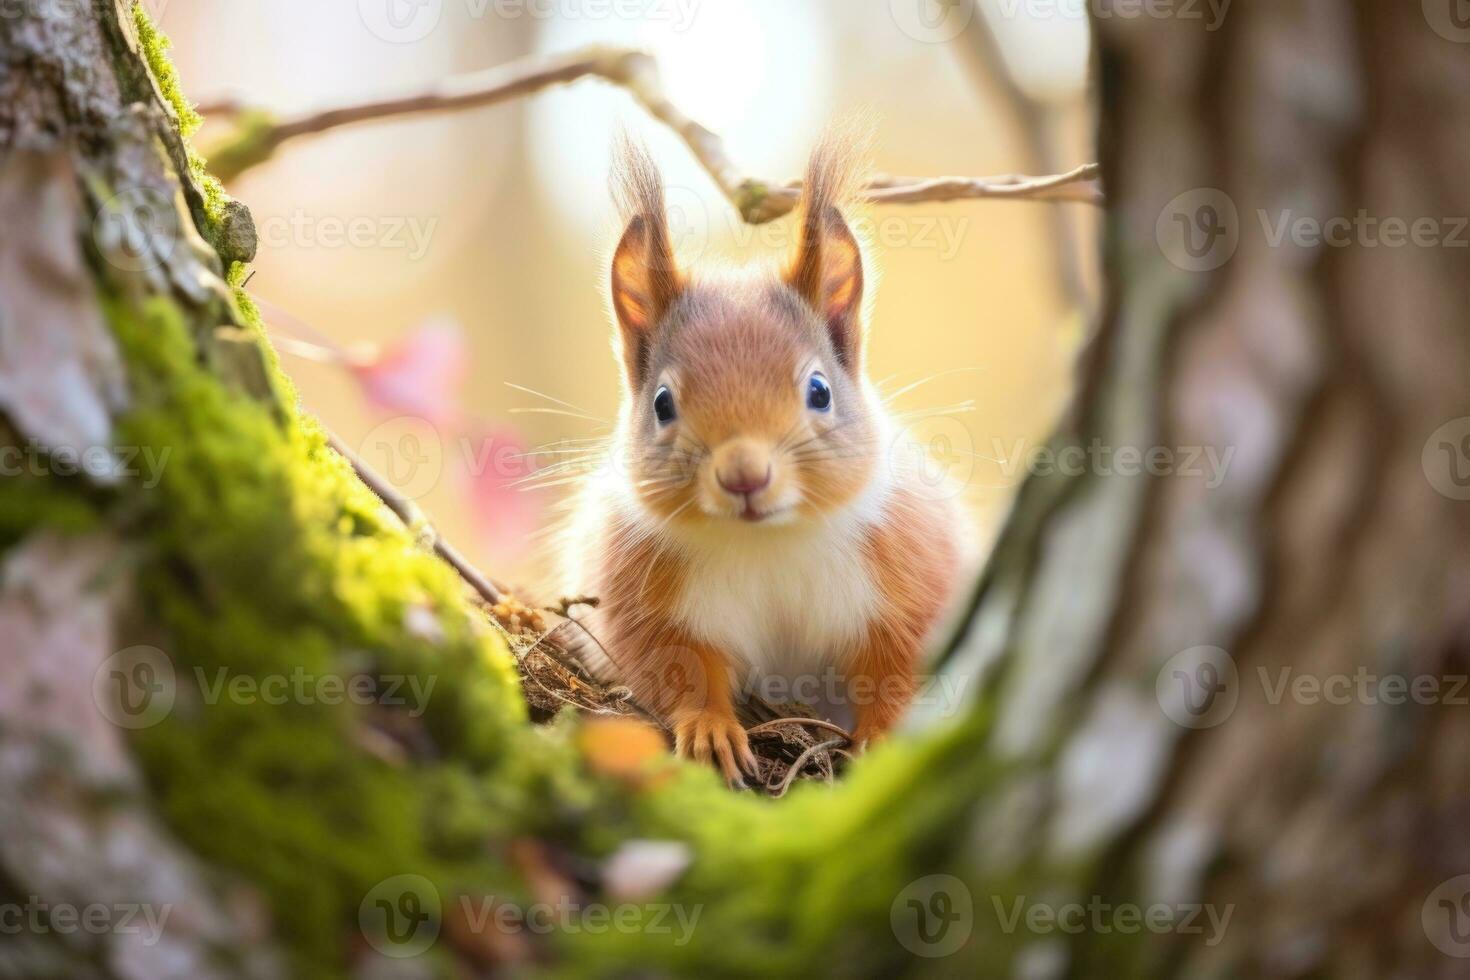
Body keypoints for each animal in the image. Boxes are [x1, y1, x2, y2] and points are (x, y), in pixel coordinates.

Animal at [561, 135, 976, 781]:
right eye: (662, 403)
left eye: (819, 391)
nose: (744, 476)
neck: (766, 541)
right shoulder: (642, 593)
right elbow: (677, 668)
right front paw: (710, 730)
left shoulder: (910, 571)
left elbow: (900, 666)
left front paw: (882, 735)